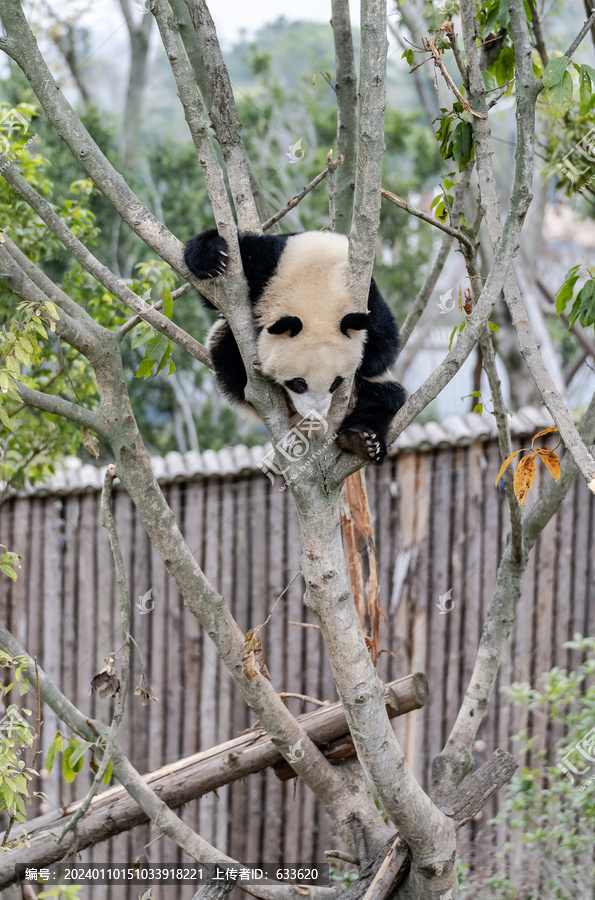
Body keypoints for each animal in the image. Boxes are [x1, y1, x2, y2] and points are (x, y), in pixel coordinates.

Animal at [184, 230, 408, 464]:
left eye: (335, 383)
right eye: (299, 383)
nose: (315, 415)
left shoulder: (367, 294)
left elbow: (385, 345)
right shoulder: (267, 264)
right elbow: (218, 296)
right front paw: (212, 258)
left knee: (384, 399)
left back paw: (361, 440)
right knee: (225, 343)